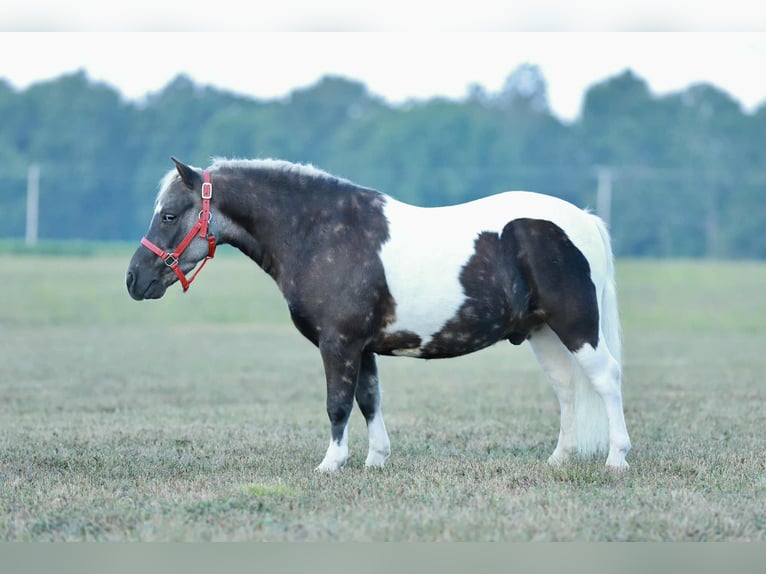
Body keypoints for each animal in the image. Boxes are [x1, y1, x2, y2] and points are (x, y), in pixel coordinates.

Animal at [126, 157, 631, 472]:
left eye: (169, 215)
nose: (135, 279)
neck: (322, 232)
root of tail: (584, 220)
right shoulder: (362, 346)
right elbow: (369, 399)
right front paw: (376, 459)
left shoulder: (339, 343)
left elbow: (337, 403)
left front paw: (331, 463)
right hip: (542, 330)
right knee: (567, 388)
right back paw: (560, 458)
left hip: (577, 325)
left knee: (605, 379)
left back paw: (616, 458)